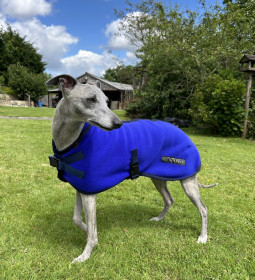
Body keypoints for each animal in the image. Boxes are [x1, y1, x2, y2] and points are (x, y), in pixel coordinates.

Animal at [46, 74, 217, 262]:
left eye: (107, 101)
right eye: (91, 99)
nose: (118, 123)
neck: (73, 141)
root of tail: (182, 132)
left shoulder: (89, 191)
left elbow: (90, 230)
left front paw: (85, 254)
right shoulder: (82, 187)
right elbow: (77, 219)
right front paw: (88, 232)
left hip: (188, 182)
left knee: (203, 209)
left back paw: (203, 237)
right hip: (159, 178)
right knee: (169, 199)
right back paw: (159, 219)